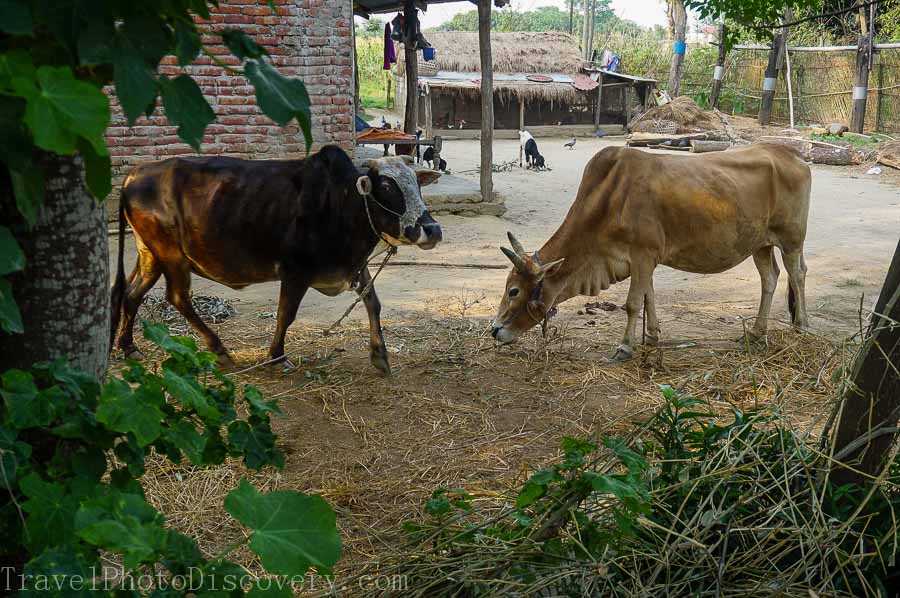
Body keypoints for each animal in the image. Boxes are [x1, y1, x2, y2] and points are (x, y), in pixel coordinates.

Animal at [110, 146, 442, 376]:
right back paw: (219, 349)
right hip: (172, 257)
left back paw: (129, 347)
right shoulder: (296, 272)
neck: (341, 200)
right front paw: (277, 356)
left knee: (132, 293)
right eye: (386, 186)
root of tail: (134, 174)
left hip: (150, 254)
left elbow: (373, 302)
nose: (433, 229)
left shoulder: (352, 265)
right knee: (178, 297)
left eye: (417, 184)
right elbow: (286, 315)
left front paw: (380, 355)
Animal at [492, 145, 816, 360]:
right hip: (760, 244)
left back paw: (801, 326)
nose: (495, 331)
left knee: (798, 273)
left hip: (791, 239)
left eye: (514, 291)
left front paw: (625, 346)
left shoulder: (643, 255)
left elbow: (634, 303)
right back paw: (756, 332)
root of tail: (791, 154)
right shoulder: (644, 261)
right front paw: (651, 336)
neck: (610, 199)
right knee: (770, 278)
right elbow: (649, 297)